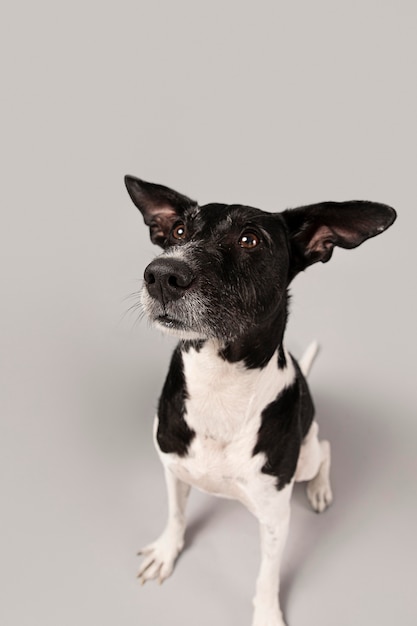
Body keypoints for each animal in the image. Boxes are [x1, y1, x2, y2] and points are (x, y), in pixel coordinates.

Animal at [124, 174, 396, 624]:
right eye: (178, 231)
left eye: (249, 239)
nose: (161, 274)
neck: (220, 384)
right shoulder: (173, 467)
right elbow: (176, 515)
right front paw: (166, 551)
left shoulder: (275, 517)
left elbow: (267, 576)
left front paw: (267, 614)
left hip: (305, 457)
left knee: (324, 447)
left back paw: (320, 489)